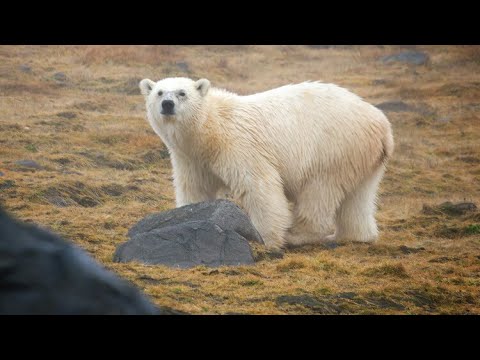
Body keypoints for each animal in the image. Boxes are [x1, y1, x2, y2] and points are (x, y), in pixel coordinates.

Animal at [139, 77, 394, 249]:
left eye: (181, 93)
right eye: (159, 92)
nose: (168, 104)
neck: (210, 129)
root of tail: (383, 127)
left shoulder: (238, 146)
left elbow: (259, 188)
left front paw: (266, 239)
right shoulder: (192, 159)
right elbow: (195, 189)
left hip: (332, 149)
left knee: (319, 192)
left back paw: (297, 235)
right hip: (360, 156)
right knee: (358, 197)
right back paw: (353, 235)